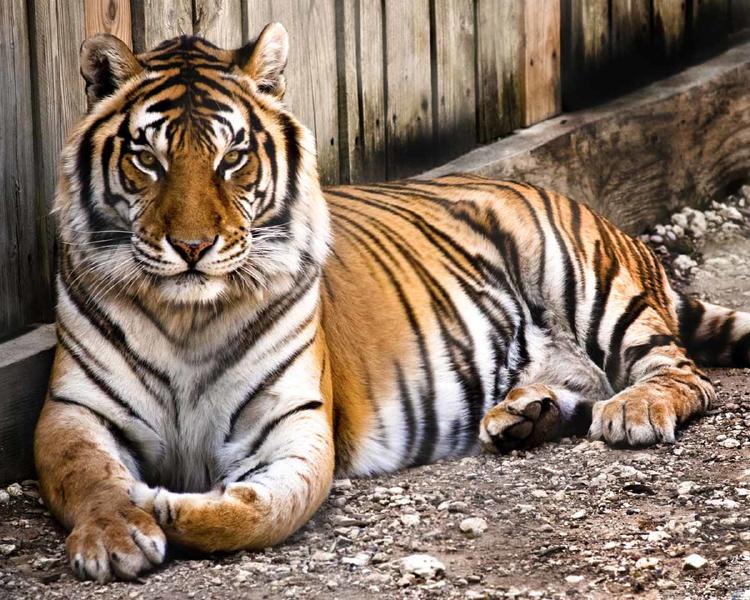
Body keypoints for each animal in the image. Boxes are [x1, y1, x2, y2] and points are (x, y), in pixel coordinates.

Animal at [34, 22, 750, 583]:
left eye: (232, 157)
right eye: (147, 159)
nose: (191, 247)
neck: (188, 318)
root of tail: (605, 220)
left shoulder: (295, 424)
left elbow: (256, 513)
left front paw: (158, 505)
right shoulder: (72, 411)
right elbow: (85, 474)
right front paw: (115, 532)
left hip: (589, 283)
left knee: (683, 375)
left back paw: (633, 411)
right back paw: (525, 416)